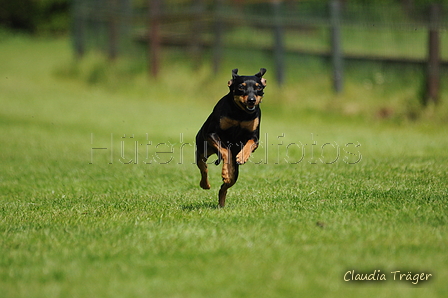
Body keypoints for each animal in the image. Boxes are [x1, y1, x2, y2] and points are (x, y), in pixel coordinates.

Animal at [195, 68, 266, 207]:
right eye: (241, 87)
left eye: (258, 87)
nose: (251, 100)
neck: (241, 113)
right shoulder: (211, 134)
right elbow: (225, 150)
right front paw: (226, 171)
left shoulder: (255, 137)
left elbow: (250, 143)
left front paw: (242, 156)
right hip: (202, 149)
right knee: (203, 167)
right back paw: (206, 184)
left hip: (235, 174)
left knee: (225, 186)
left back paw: (222, 203)